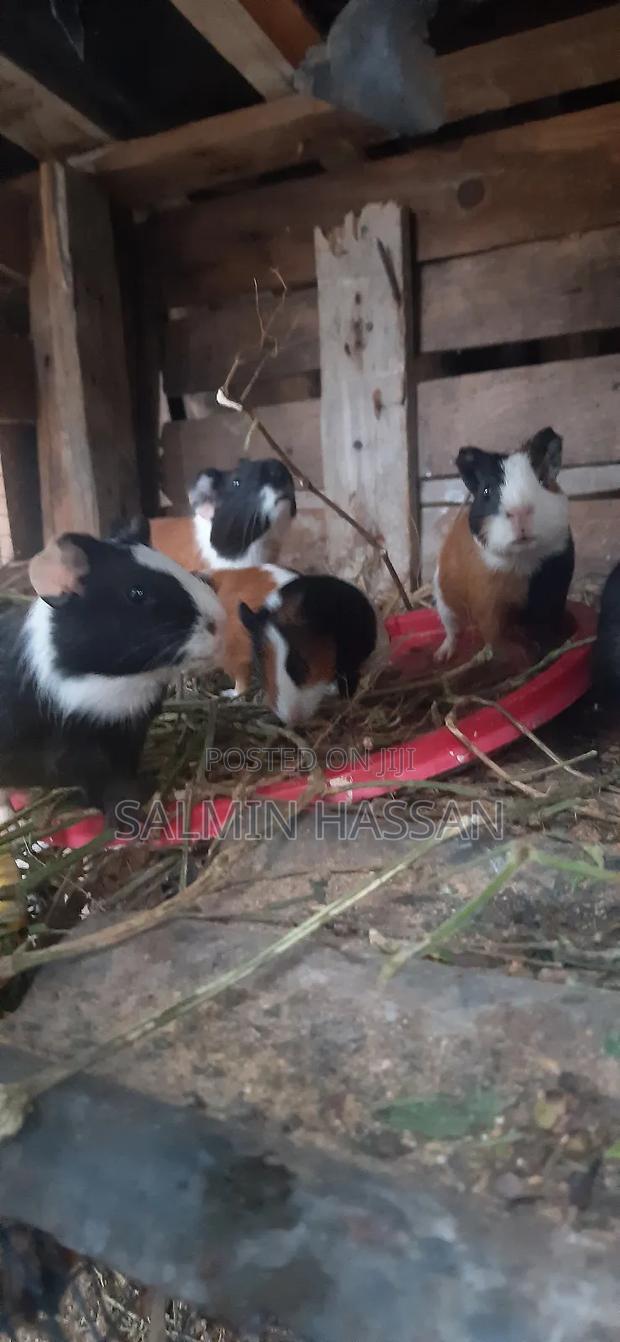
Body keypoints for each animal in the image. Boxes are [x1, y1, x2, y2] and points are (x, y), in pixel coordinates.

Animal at [434, 427, 574, 661]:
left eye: (542, 480)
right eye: (487, 491)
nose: (520, 511)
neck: (524, 557)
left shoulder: (552, 593)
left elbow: (545, 627)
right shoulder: (488, 603)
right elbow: (496, 634)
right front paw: (516, 655)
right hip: (445, 606)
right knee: (452, 633)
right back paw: (441, 656)